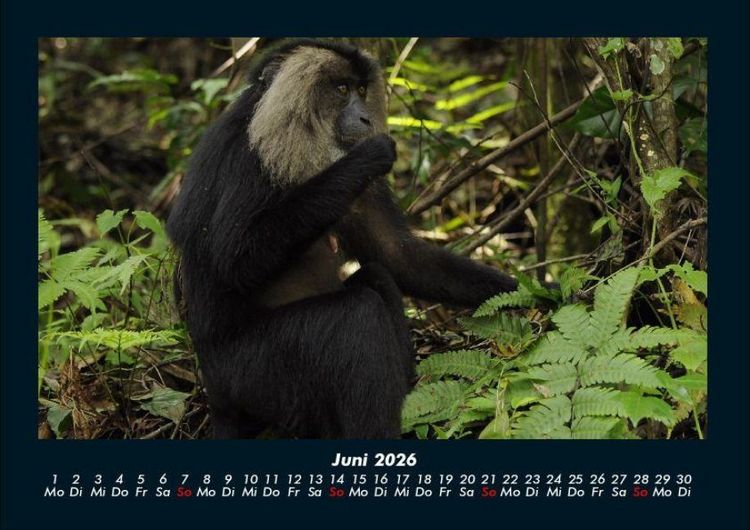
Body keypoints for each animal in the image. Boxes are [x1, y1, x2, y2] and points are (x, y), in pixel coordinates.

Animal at [167, 39, 520, 439]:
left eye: (362, 91)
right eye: (340, 89)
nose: (365, 117)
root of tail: (216, 399)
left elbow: (395, 255)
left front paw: (534, 294)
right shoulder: (247, 159)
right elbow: (235, 260)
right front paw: (370, 154)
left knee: (377, 276)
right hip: (253, 376)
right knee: (356, 314)